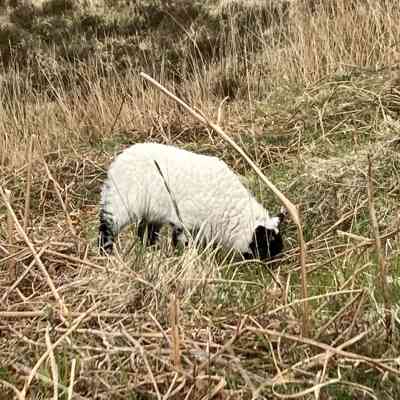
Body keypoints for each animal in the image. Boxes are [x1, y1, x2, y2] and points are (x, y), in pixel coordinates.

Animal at [97, 142, 284, 260]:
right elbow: (182, 243)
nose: (270, 267)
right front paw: (182, 258)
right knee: (106, 228)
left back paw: (151, 253)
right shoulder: (184, 221)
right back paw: (106, 256)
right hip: (120, 202)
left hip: (152, 211)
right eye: (265, 246)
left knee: (145, 233)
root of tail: (119, 159)